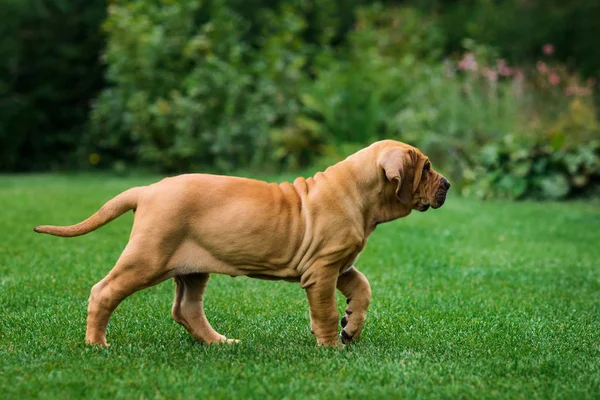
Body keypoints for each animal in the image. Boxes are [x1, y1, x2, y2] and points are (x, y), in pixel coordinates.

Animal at [34, 140, 450, 346]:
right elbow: (326, 312)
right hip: (148, 257)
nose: (446, 184)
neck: (359, 195)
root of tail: (146, 190)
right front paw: (331, 345)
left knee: (186, 309)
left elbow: (362, 288)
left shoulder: (338, 265)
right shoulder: (320, 271)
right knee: (104, 291)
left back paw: (219, 343)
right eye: (426, 168)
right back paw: (96, 344)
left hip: (192, 267)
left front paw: (353, 327)